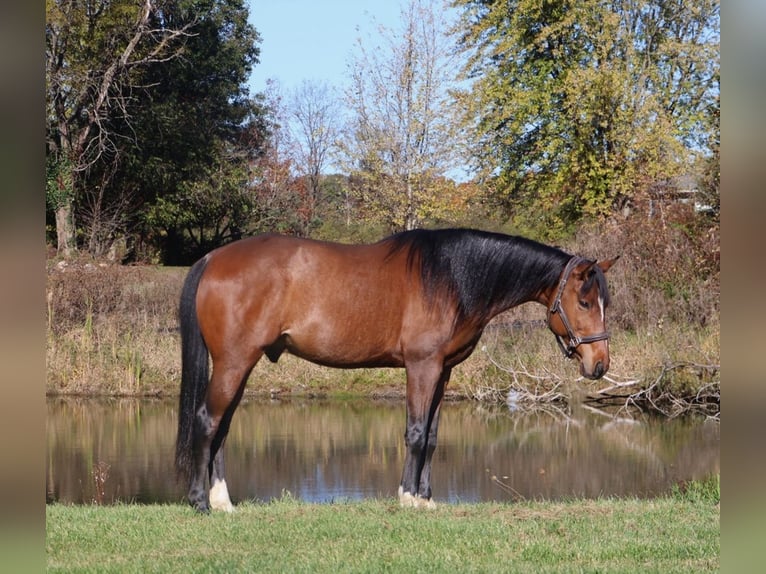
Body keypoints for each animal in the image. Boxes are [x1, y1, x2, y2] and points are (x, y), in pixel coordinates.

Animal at [175, 228, 617, 512]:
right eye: (583, 301)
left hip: (240, 364)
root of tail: (213, 258)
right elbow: (416, 433)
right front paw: (406, 497)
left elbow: (433, 437)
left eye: (603, 303)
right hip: (234, 361)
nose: (599, 364)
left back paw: (222, 501)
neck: (452, 278)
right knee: (207, 420)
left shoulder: (443, 371)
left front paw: (426, 498)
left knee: (223, 426)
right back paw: (199, 502)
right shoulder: (421, 367)